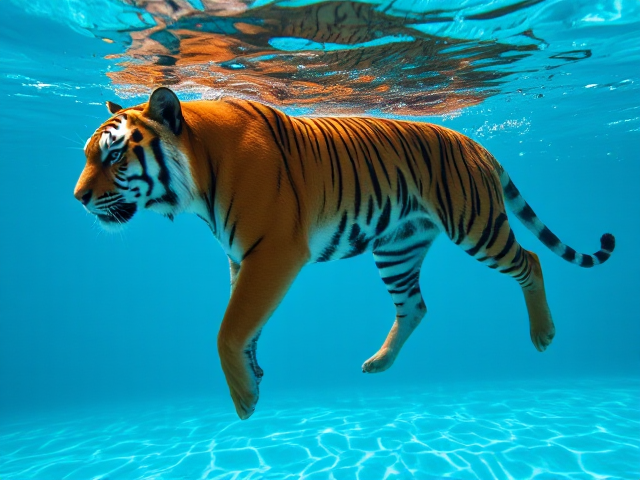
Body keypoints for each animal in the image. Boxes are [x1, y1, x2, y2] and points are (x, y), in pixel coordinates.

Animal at [75, 87, 615, 420]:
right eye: (87, 154)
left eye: (115, 155)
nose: (77, 198)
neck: (197, 178)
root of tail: (475, 142)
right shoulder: (240, 260)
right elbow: (246, 328)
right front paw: (254, 376)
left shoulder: (273, 253)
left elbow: (229, 329)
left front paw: (245, 399)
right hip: (398, 247)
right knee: (416, 306)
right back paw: (378, 364)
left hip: (475, 225)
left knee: (531, 261)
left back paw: (543, 334)